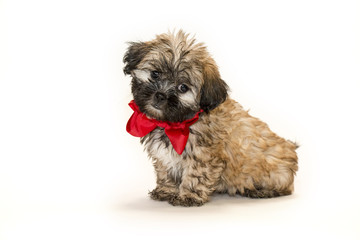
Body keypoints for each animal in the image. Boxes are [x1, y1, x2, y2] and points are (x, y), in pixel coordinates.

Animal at [124, 30, 298, 206]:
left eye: (183, 88)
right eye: (155, 74)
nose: (160, 95)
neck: (176, 124)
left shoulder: (203, 156)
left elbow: (195, 174)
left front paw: (188, 196)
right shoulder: (164, 158)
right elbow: (166, 171)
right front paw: (166, 190)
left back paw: (261, 190)